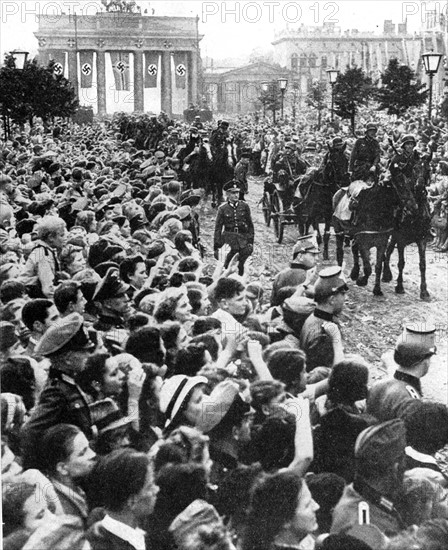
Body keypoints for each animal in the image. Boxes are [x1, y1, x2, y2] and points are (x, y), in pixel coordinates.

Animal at [382, 155, 434, 302]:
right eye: (415, 168)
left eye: (428, 169)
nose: (420, 186)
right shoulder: (401, 239)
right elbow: (401, 262)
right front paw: (399, 286)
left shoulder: (422, 239)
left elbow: (423, 265)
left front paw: (424, 291)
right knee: (385, 251)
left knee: (388, 251)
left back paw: (386, 273)